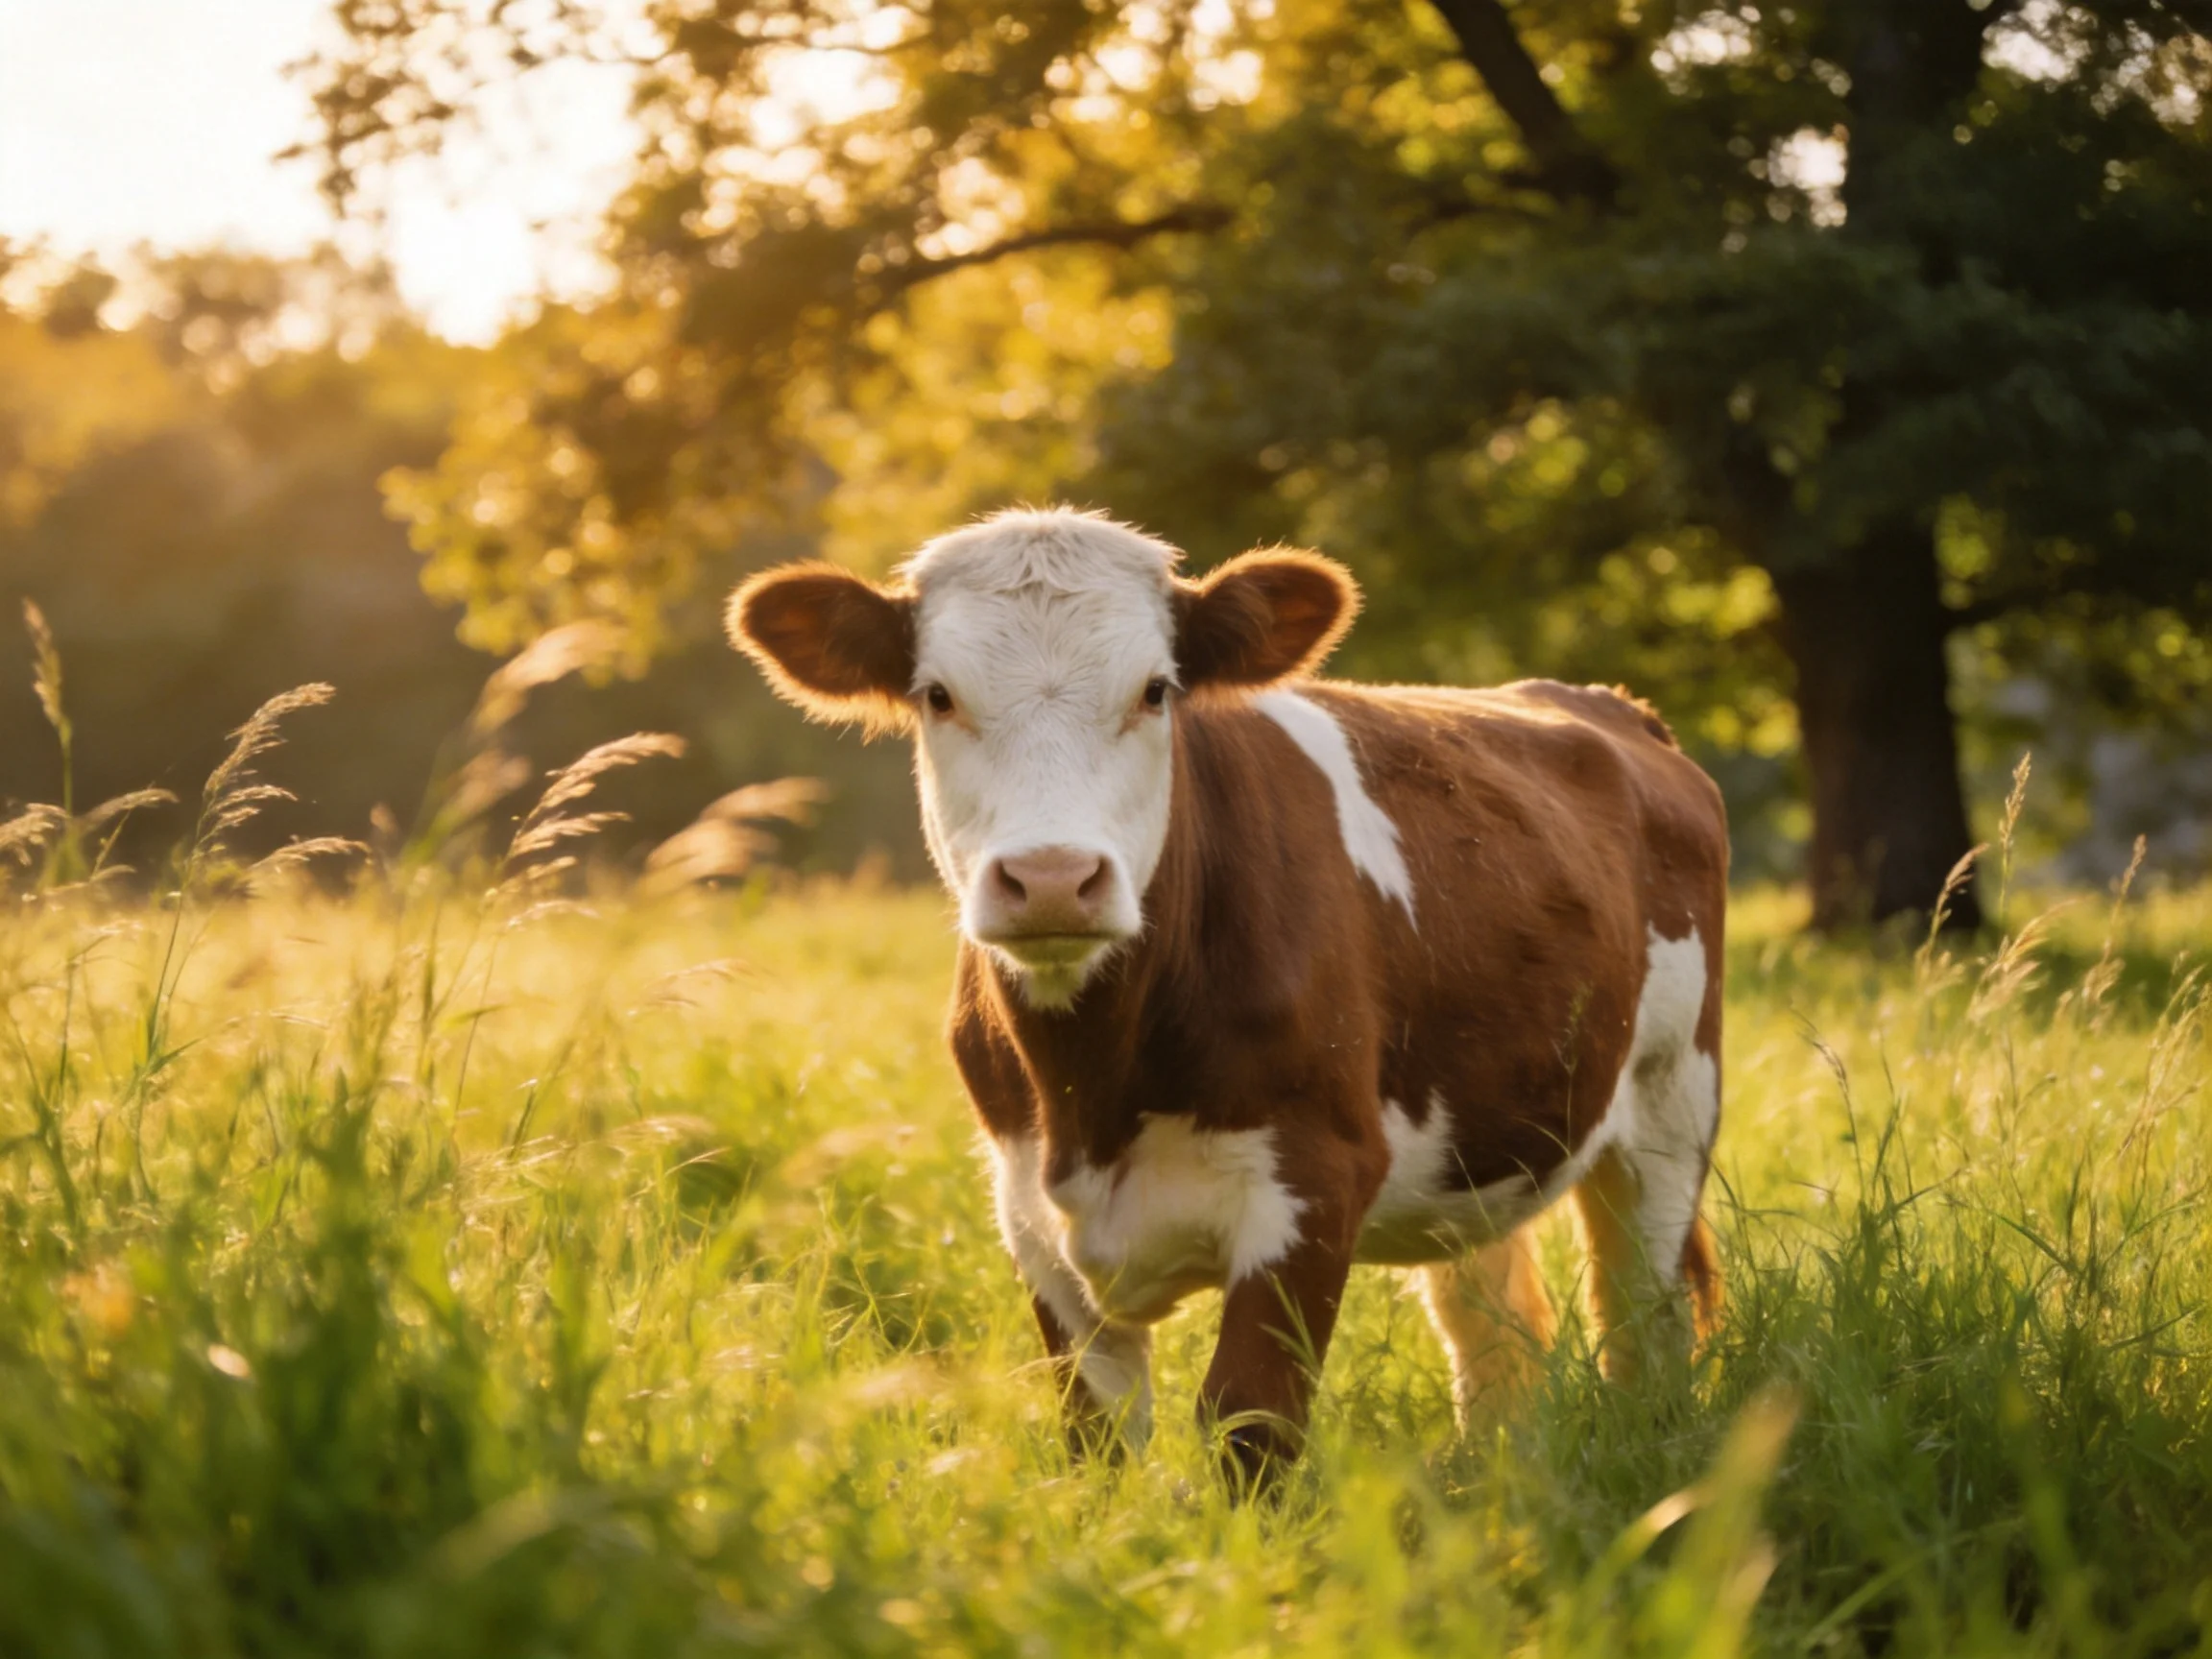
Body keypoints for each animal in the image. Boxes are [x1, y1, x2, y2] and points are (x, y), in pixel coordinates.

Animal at [728, 507, 1727, 1479]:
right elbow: (1095, 1442)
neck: (1090, 1094)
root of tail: (1603, 704)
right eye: (937, 694)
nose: (1052, 879)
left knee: (1645, 1319)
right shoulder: (1027, 1212)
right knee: (1493, 1339)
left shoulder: (1316, 1183)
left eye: (1155, 690)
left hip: (1671, 1108)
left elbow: (1249, 1426)